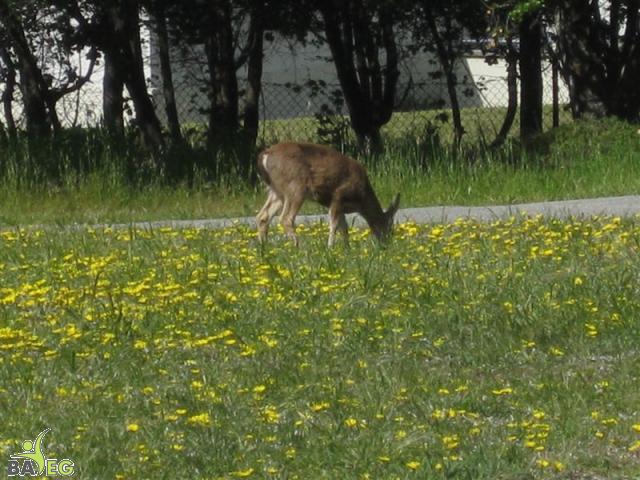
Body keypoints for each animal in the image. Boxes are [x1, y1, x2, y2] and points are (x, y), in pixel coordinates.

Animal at [256, 142, 400, 247]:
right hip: (295, 187)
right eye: (390, 228)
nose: (386, 245)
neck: (362, 199)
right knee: (286, 218)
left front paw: (347, 249)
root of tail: (265, 155)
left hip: (276, 191)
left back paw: (264, 248)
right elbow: (334, 224)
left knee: (263, 216)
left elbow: (344, 227)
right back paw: (298, 247)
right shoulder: (338, 195)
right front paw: (330, 248)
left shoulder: (341, 206)